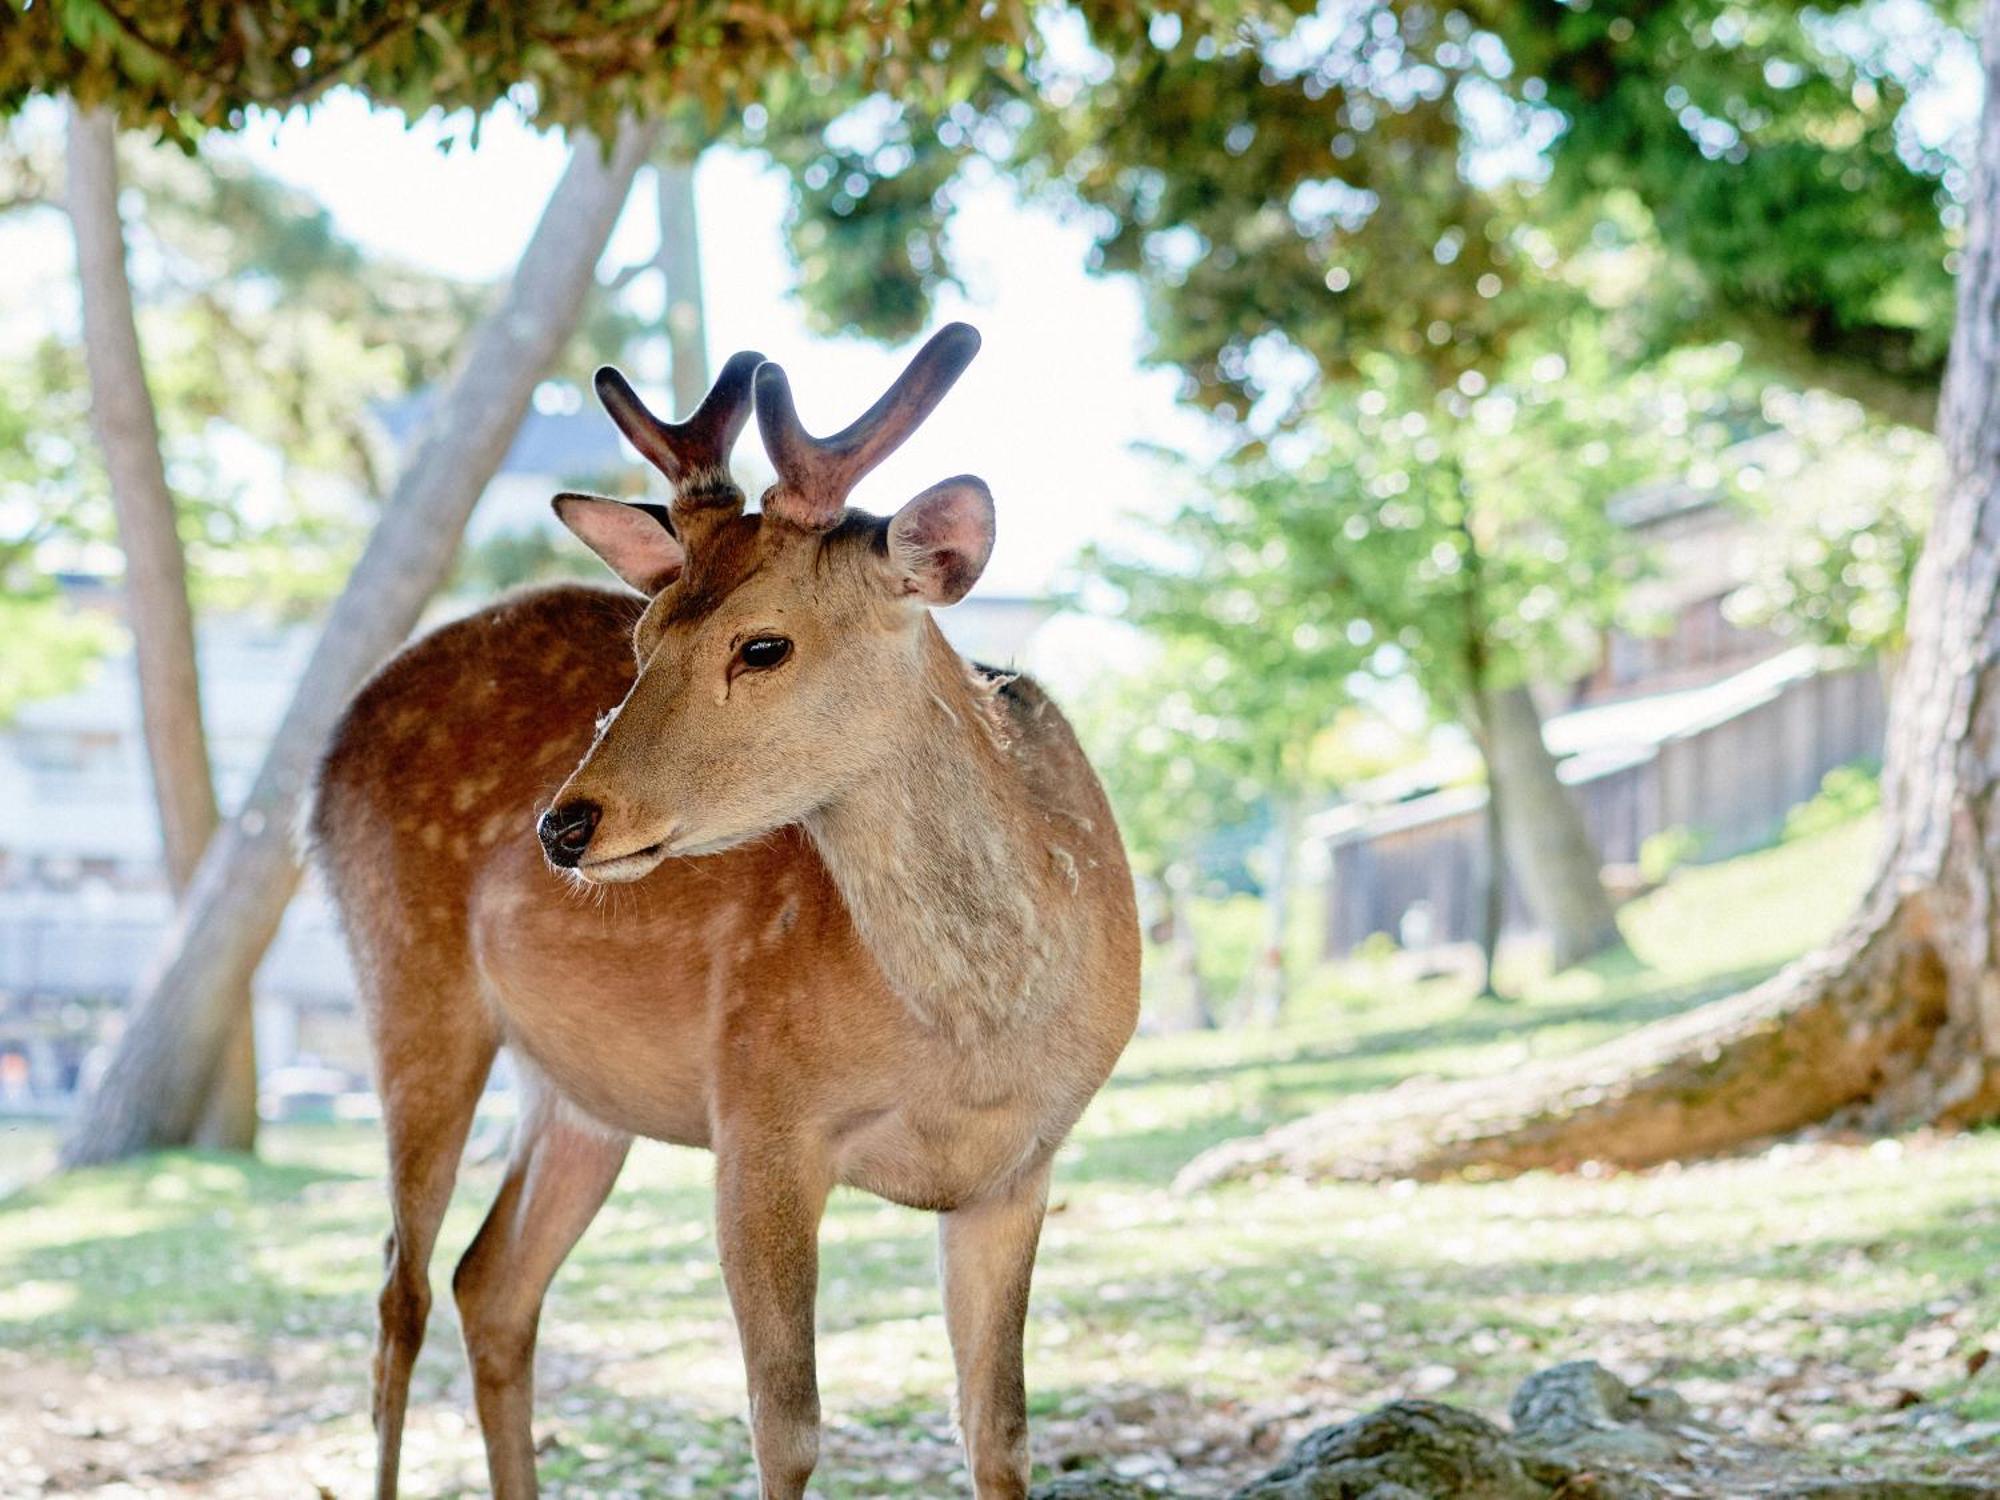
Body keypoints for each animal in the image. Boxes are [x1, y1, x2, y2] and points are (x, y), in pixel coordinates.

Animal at [310, 328, 1144, 1500]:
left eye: (763, 645)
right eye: (643, 638)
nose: (563, 824)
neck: (975, 1031)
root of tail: (322, 758)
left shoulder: (1020, 1168)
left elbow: (999, 1432)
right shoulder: (757, 1111)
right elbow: (785, 1427)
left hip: (581, 1089)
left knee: (492, 1282)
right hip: (406, 980)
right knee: (400, 1286)